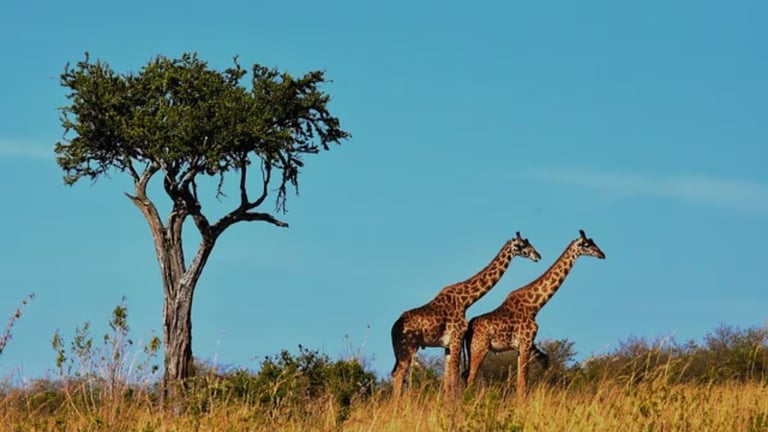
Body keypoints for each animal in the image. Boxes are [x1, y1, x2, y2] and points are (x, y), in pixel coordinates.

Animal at [390, 233, 540, 398]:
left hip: (399, 350)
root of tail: (393, 329)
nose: (537, 256)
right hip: (409, 347)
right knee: (399, 373)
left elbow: (449, 377)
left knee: (395, 373)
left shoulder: (448, 344)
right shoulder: (456, 338)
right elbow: (455, 375)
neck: (465, 300)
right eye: (522, 245)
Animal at [462, 230, 608, 394]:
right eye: (587, 244)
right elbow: (522, 382)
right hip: (479, 348)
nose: (602, 254)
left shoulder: (526, 345)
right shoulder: (525, 342)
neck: (534, 306)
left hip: (471, 350)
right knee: (470, 377)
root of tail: (468, 330)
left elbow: (542, 363)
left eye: (593, 241)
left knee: (465, 375)